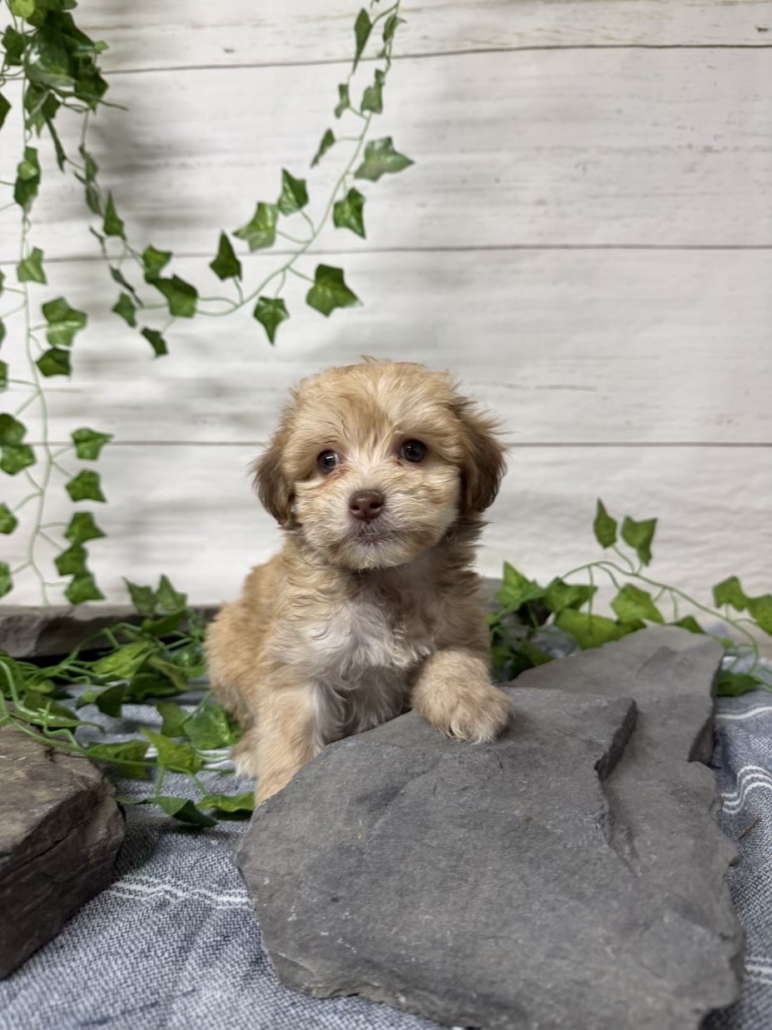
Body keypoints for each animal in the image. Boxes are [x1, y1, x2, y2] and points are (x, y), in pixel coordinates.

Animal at [206, 360, 512, 804]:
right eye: (327, 460)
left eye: (413, 450)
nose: (366, 501)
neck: (381, 576)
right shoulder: (299, 671)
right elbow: (288, 737)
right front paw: (278, 794)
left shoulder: (458, 630)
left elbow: (454, 662)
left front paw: (470, 703)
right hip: (224, 649)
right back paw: (248, 749)